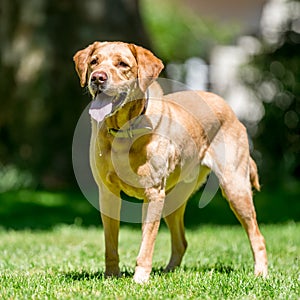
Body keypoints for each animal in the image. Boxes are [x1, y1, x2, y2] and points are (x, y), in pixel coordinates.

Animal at [73, 41, 268, 282]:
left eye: (122, 64)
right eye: (94, 61)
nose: (98, 78)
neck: (124, 130)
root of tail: (227, 105)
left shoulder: (153, 194)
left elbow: (147, 243)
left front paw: (140, 279)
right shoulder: (107, 192)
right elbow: (111, 244)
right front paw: (111, 276)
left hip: (235, 188)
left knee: (257, 235)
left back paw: (261, 272)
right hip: (173, 200)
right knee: (181, 242)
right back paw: (169, 272)